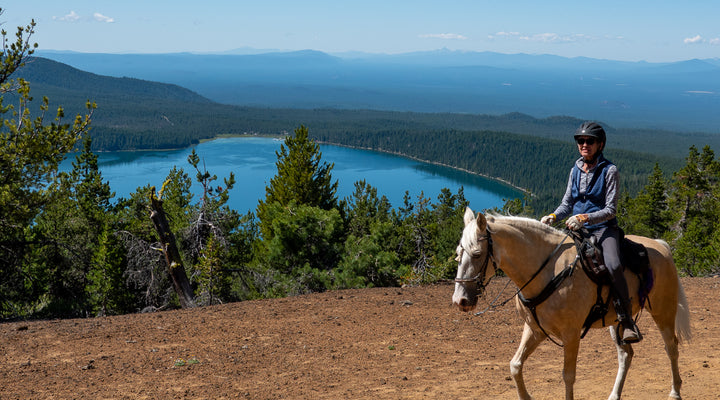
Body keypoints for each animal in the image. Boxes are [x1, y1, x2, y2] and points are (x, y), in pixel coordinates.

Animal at [451, 207, 691, 400]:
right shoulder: (534, 329)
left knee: (671, 347)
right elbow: (515, 366)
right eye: (457, 254)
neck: (548, 271)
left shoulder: (571, 334)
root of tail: (660, 245)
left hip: (663, 311)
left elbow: (568, 376)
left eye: (477, 254)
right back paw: (614, 395)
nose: (460, 301)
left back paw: (675, 392)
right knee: (626, 355)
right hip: (618, 321)